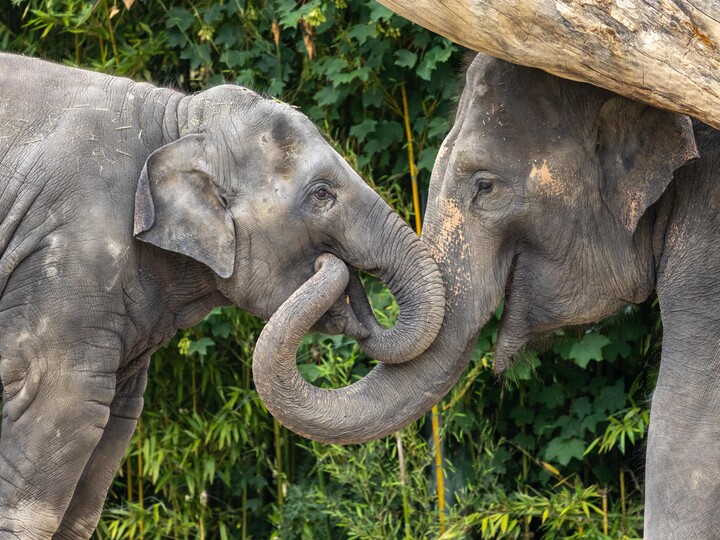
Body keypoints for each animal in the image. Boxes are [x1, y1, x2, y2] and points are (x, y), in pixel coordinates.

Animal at [0, 52, 446, 538]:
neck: (177, 119)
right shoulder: (72, 254)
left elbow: (112, 425)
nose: (340, 273)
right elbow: (65, 400)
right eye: (322, 194)